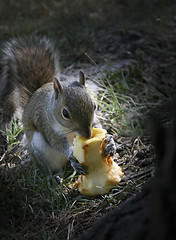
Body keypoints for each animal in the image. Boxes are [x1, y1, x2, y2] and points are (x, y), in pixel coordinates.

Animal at [0, 35, 115, 174]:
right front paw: (71, 151)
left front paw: (110, 141)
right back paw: (57, 174)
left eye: (94, 106)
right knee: (53, 167)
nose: (88, 135)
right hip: (40, 150)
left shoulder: (94, 121)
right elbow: (56, 142)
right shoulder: (47, 125)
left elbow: (98, 125)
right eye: (65, 113)